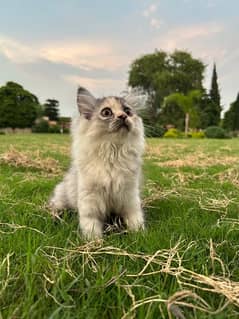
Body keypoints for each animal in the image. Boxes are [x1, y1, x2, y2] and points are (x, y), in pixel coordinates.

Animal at [49, 86, 145, 239]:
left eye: (128, 111)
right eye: (106, 112)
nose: (123, 117)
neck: (113, 152)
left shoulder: (130, 195)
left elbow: (135, 218)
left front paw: (140, 234)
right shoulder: (90, 199)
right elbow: (91, 225)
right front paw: (95, 242)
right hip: (61, 197)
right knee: (55, 205)